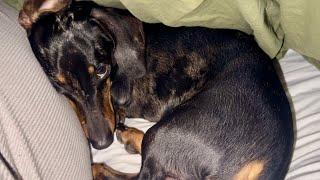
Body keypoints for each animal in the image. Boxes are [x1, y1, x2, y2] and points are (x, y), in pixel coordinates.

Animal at [21, 0, 294, 179]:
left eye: (101, 70)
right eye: (58, 84)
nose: (101, 143)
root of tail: (263, 163)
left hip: (162, 133)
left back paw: (103, 161)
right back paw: (131, 137)